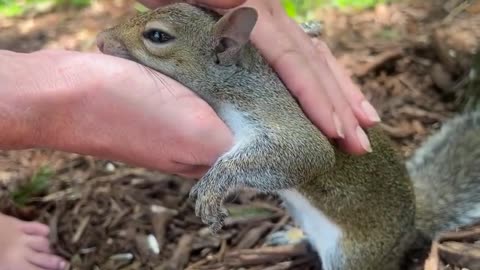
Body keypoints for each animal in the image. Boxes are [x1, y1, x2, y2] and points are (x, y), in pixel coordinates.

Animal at [95, 3, 480, 270]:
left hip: (355, 255)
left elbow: (308, 152)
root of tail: (412, 226)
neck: (235, 81)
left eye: (157, 36)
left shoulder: (274, 110)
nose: (99, 40)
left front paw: (215, 185)